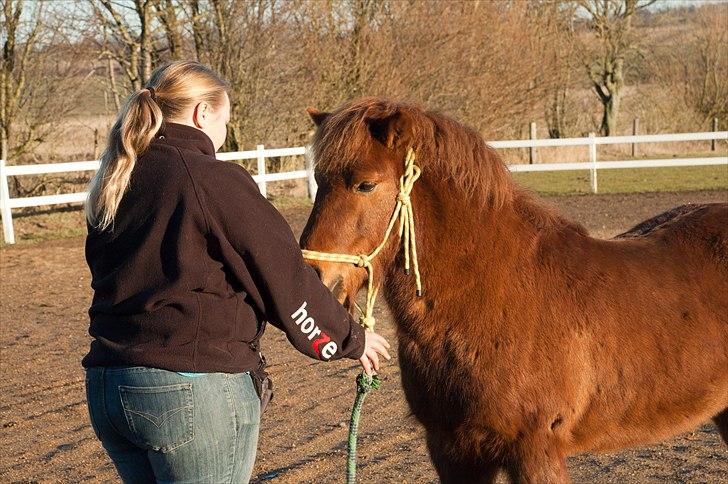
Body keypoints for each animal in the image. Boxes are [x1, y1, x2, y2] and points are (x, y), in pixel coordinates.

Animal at [298, 98, 724, 484]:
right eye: (319, 181)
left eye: (365, 184)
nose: (315, 279)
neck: (489, 297)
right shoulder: (452, 451)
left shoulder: (535, 449)